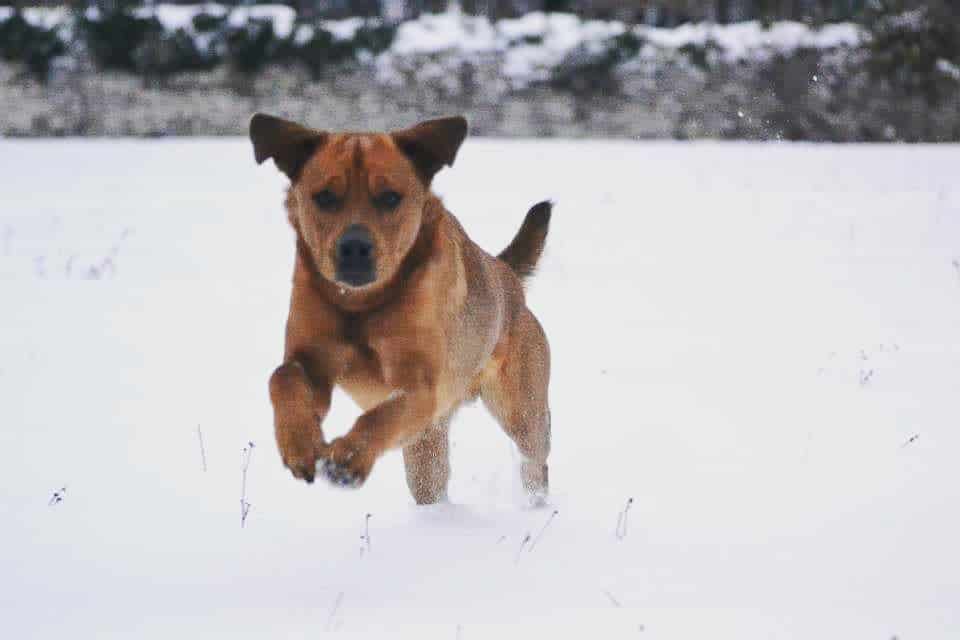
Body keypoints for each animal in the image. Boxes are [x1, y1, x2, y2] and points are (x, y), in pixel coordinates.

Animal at [251, 114, 552, 504]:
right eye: (325, 197)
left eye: (390, 197)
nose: (354, 248)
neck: (360, 305)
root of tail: (507, 277)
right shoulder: (312, 359)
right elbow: (283, 377)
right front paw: (300, 445)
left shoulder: (423, 387)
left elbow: (384, 413)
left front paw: (348, 458)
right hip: (427, 445)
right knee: (431, 483)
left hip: (521, 410)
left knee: (534, 460)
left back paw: (534, 503)